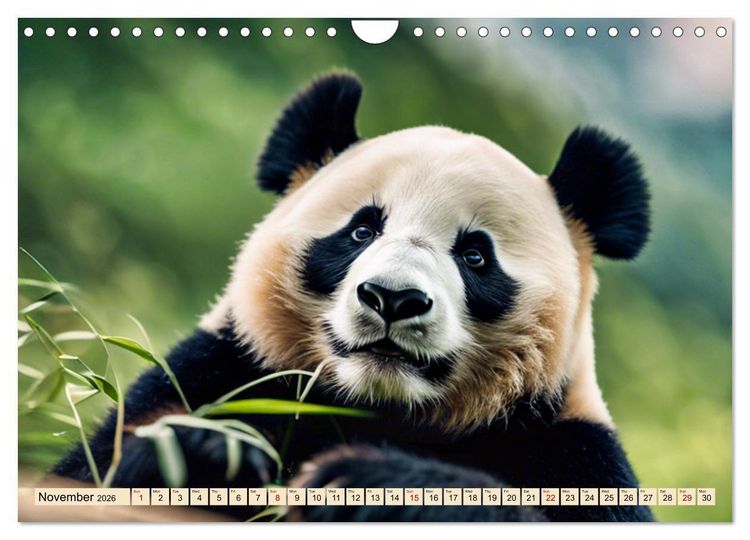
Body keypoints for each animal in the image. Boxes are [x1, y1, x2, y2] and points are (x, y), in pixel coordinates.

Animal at [54, 72, 652, 522]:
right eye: (362, 230)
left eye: (475, 256)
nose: (393, 299)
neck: (373, 406)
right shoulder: (222, 368)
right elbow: (86, 473)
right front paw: (210, 453)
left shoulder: (569, 448)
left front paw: (373, 485)